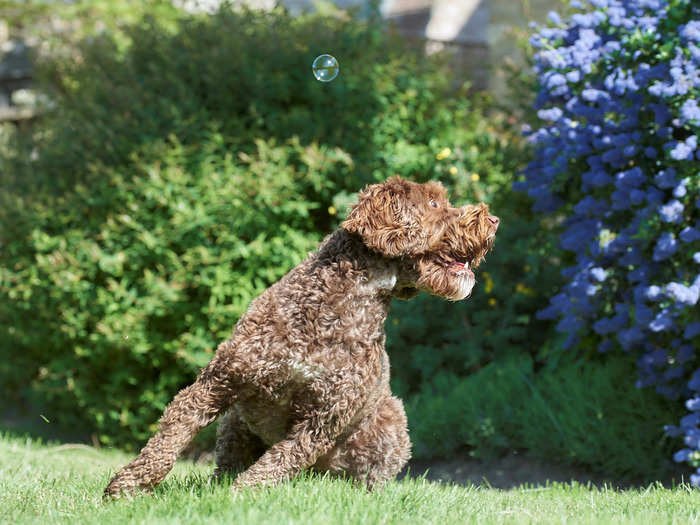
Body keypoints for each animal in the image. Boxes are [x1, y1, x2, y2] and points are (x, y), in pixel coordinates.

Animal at [104, 176, 498, 496]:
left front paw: (239, 498)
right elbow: (171, 436)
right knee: (225, 464)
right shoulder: (218, 382)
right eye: (433, 203)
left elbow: (277, 462)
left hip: (392, 422)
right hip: (235, 422)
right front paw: (128, 486)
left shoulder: (322, 420)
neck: (338, 306)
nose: (493, 220)